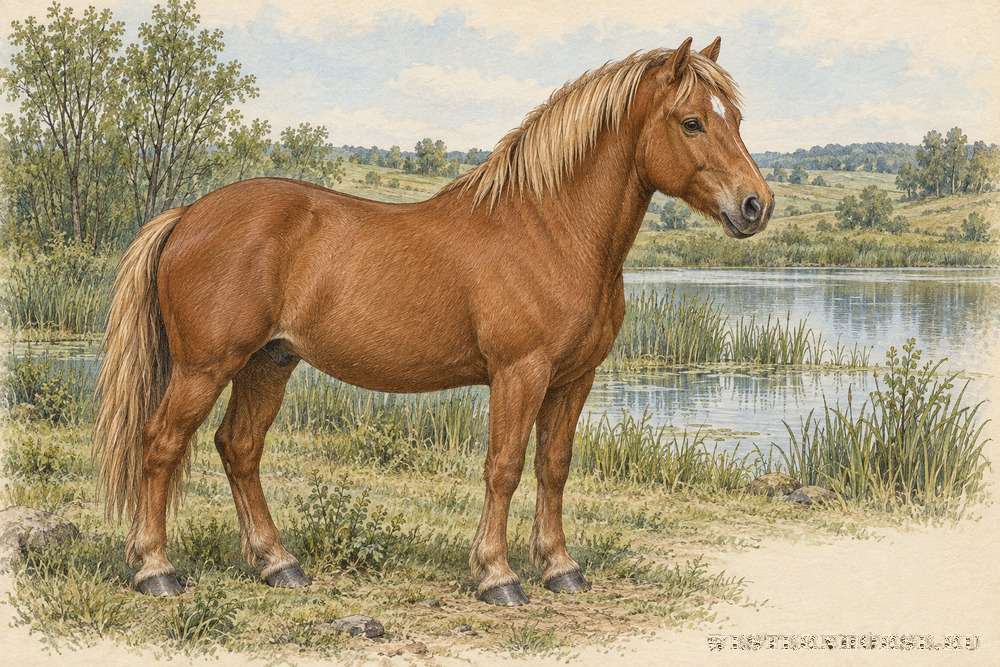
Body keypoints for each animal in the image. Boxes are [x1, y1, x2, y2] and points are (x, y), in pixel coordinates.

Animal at [93, 37, 773, 606]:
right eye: (691, 122)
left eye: (736, 119)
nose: (755, 206)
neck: (550, 229)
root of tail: (186, 217)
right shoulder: (519, 374)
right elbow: (504, 466)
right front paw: (497, 576)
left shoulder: (572, 378)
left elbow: (553, 467)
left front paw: (560, 568)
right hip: (204, 368)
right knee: (160, 444)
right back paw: (155, 570)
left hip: (269, 362)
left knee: (239, 448)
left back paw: (277, 564)